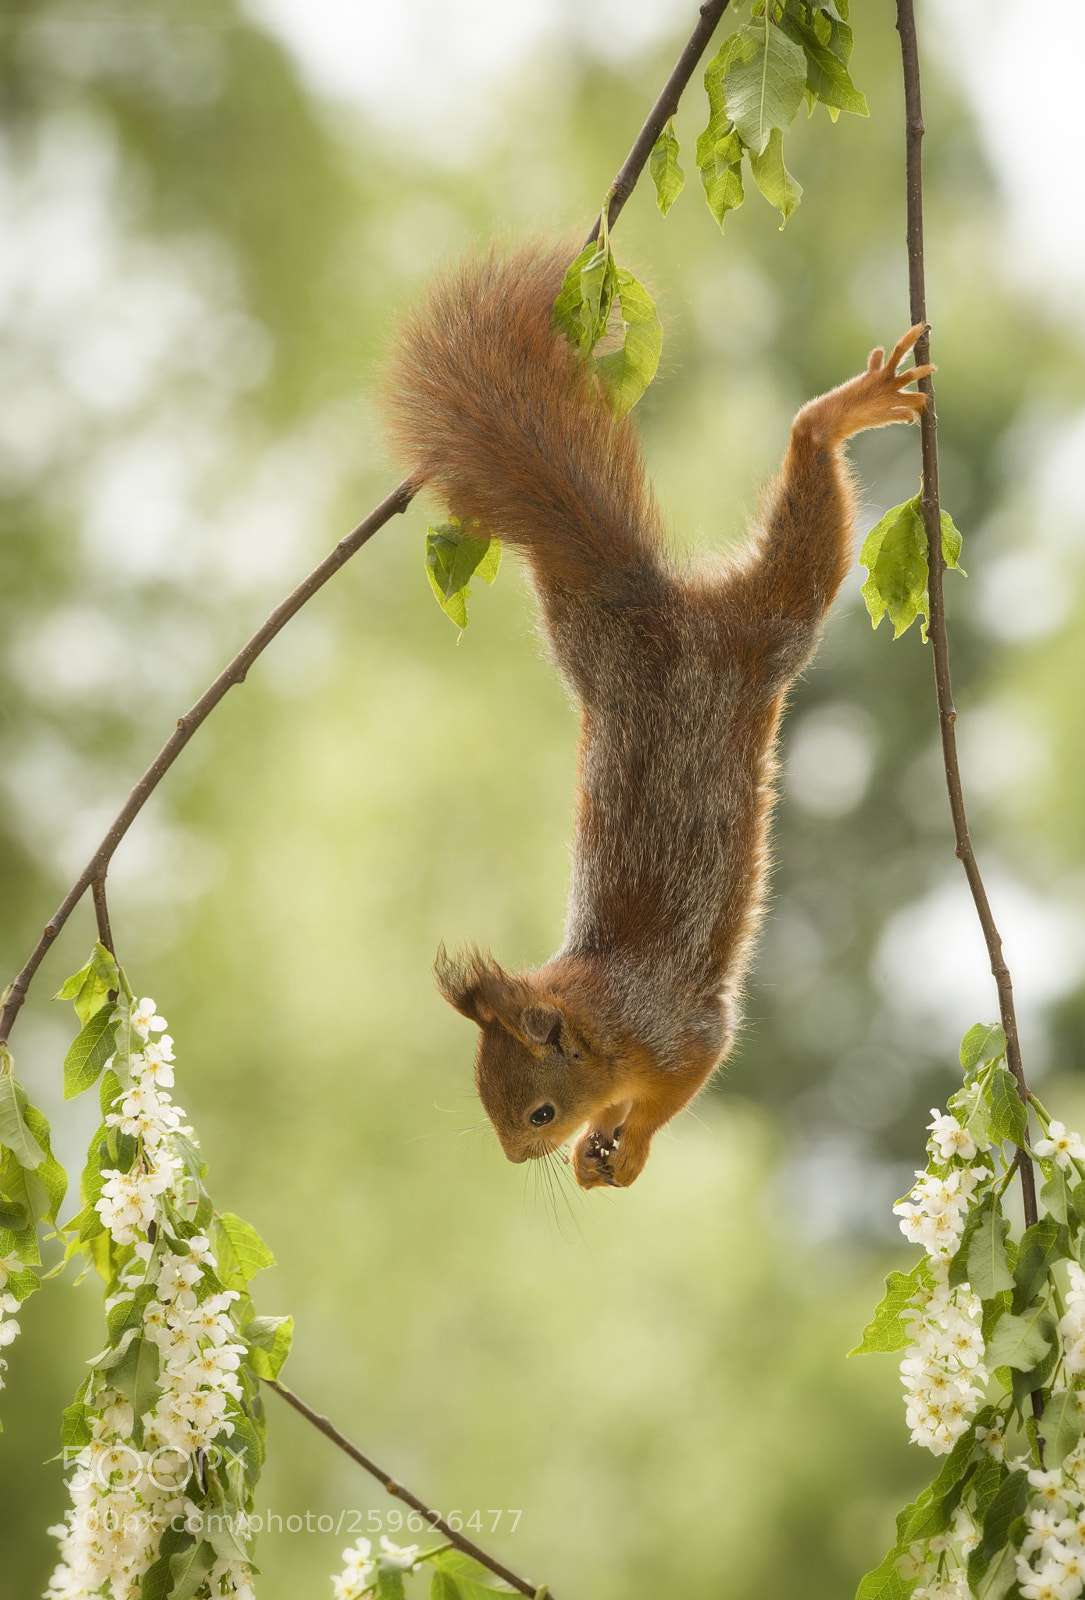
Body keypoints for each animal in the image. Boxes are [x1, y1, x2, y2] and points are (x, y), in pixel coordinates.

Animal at [383, 240, 931, 1191]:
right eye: (492, 1104)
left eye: (537, 1110)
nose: (518, 1156)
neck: (604, 1014)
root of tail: (647, 612)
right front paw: (598, 1148)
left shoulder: (683, 1035)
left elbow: (681, 1088)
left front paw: (625, 1148)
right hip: (577, 631)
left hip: (767, 629)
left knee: (803, 527)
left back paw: (838, 414)